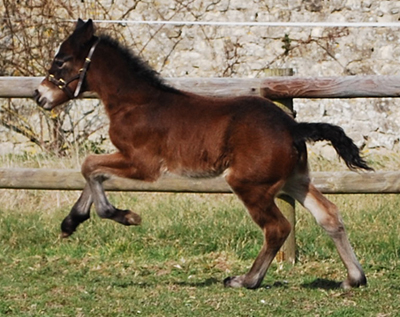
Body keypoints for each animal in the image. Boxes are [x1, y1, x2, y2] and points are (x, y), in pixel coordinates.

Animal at [34, 18, 372, 288]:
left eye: (61, 61)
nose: (39, 95)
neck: (135, 103)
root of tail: (293, 127)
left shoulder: (143, 164)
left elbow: (90, 166)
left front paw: (124, 216)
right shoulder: (130, 159)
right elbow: (93, 172)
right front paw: (71, 222)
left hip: (250, 184)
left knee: (278, 228)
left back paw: (246, 280)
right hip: (294, 180)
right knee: (329, 216)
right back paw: (354, 277)